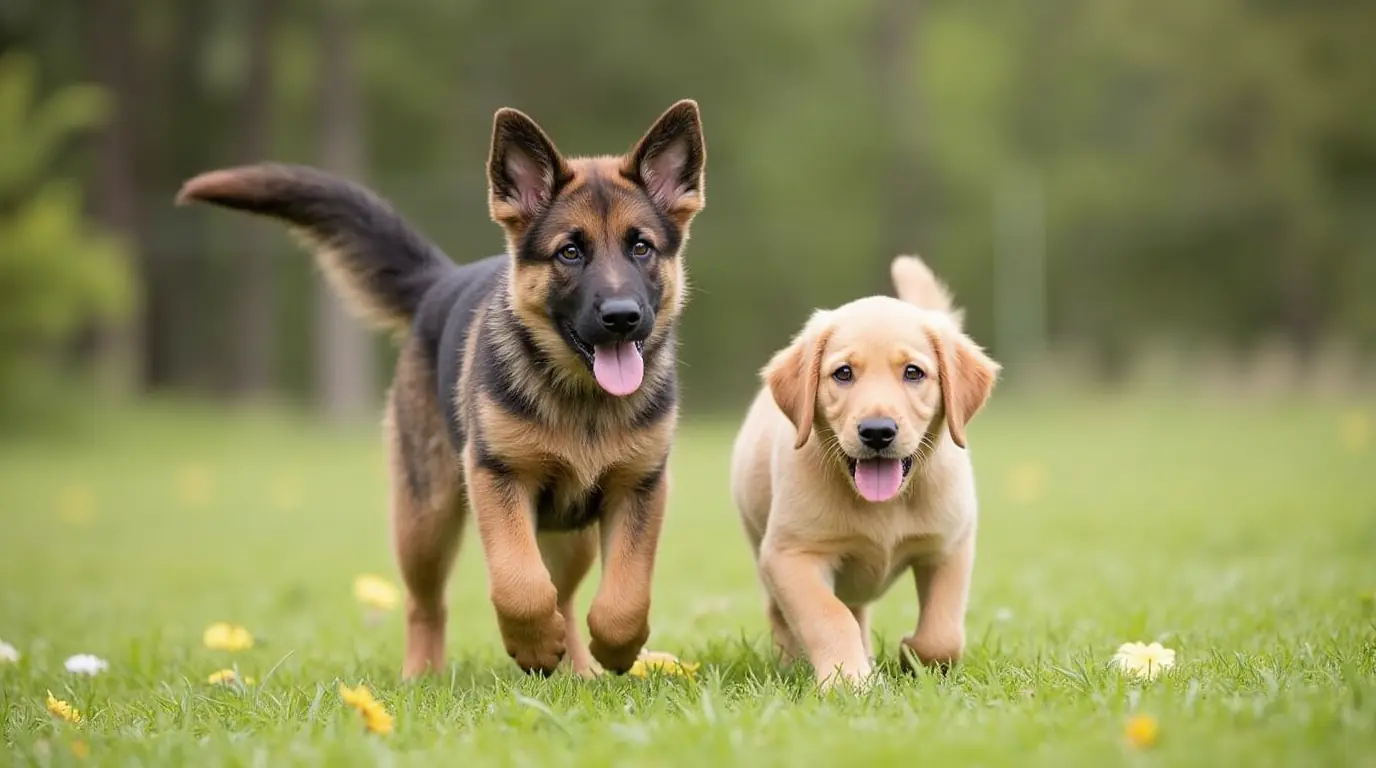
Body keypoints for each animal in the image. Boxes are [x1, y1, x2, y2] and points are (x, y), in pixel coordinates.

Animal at [176, 99, 704, 677]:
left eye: (641, 247)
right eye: (569, 252)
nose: (622, 318)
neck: (582, 401)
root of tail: (440, 282)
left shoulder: (640, 488)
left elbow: (624, 595)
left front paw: (616, 649)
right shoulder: (496, 477)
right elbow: (519, 584)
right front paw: (533, 644)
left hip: (570, 535)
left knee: (563, 595)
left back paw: (578, 669)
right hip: (425, 520)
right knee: (426, 601)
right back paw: (423, 675)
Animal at [732, 256, 1001, 688]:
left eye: (913, 372)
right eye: (843, 373)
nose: (877, 431)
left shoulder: (950, 545)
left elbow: (944, 632)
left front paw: (913, 656)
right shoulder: (790, 555)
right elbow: (828, 616)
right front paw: (849, 680)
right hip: (761, 545)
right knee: (789, 615)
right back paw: (795, 662)